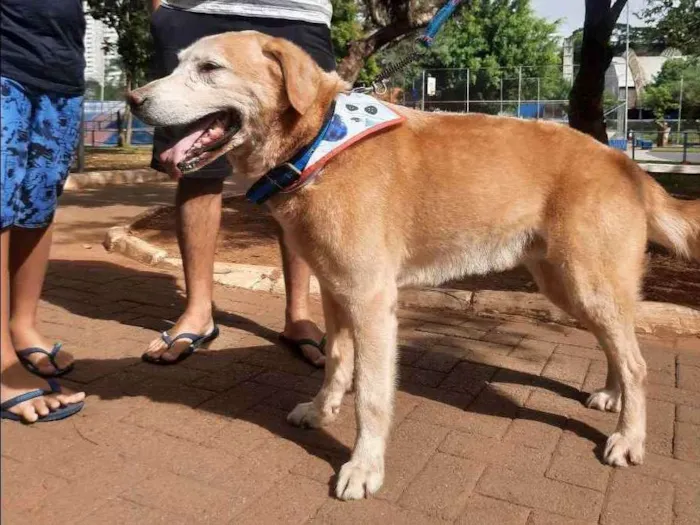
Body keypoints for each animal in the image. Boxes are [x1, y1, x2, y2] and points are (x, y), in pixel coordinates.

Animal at [127, 31, 700, 500]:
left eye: (210, 68)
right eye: (178, 63)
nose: (133, 99)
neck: (319, 143)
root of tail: (626, 163)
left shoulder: (372, 302)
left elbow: (372, 396)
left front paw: (364, 468)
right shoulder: (334, 291)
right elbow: (337, 363)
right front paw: (321, 410)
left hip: (585, 282)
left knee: (638, 362)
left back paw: (628, 436)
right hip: (567, 285)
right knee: (618, 347)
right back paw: (612, 394)